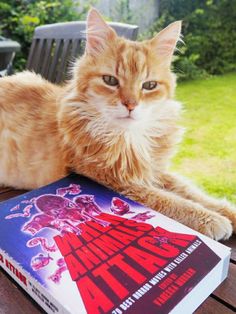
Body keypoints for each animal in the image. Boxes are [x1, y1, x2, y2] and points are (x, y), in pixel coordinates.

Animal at [0, 7, 235, 240]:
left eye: (149, 85)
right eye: (110, 81)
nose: (131, 105)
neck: (129, 138)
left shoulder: (153, 169)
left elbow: (190, 191)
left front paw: (226, 211)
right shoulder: (114, 181)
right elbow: (168, 200)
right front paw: (211, 219)